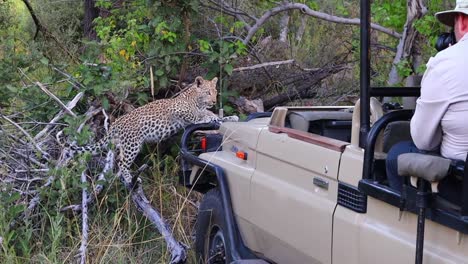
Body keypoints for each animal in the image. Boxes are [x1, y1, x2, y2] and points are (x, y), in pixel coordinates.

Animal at [59, 76, 239, 188]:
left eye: (215, 92)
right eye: (208, 92)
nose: (214, 101)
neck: (196, 100)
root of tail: (114, 125)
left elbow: (217, 118)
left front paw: (230, 117)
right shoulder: (176, 110)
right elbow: (196, 116)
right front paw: (207, 117)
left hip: (125, 145)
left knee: (118, 159)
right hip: (132, 145)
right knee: (121, 163)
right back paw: (131, 179)